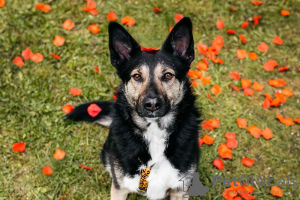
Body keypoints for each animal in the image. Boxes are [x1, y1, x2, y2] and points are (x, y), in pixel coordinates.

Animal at [66, 17, 200, 200]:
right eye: (137, 76)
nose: (152, 104)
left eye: (168, 75)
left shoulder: (180, 191)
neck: (154, 133)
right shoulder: (119, 188)